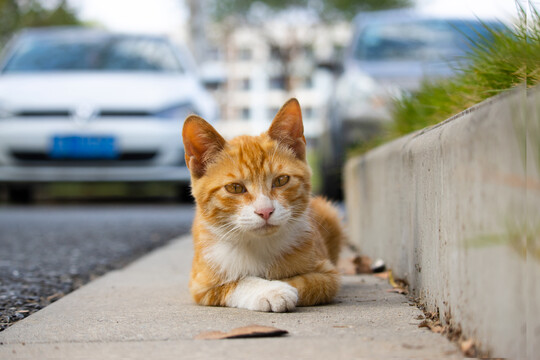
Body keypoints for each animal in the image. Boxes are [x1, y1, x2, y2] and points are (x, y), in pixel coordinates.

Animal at [181, 98, 342, 312]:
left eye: (281, 180)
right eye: (235, 188)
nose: (265, 211)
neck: (258, 244)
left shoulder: (329, 276)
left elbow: (303, 281)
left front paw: (277, 285)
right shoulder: (200, 284)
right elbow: (236, 282)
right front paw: (271, 291)